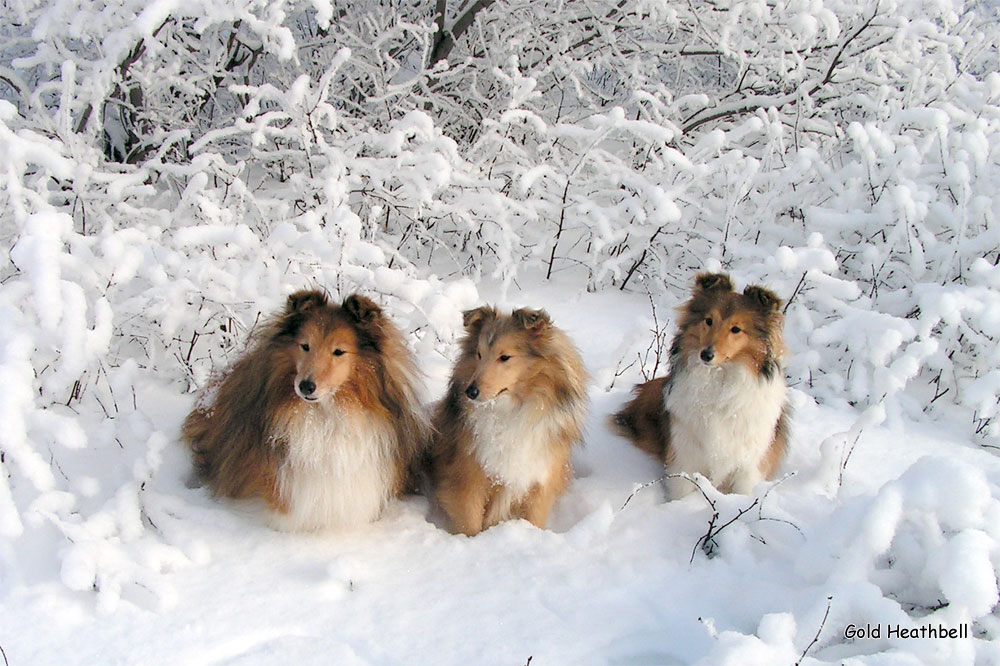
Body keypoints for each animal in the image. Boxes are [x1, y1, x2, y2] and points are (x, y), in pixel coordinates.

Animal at [432, 306, 588, 536]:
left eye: (504, 357)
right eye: (479, 354)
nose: (470, 392)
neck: (510, 410)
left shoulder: (541, 481)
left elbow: (534, 519)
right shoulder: (469, 478)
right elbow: (470, 523)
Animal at [612, 272, 792, 496]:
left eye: (736, 329)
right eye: (709, 320)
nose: (706, 354)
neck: (719, 382)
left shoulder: (748, 464)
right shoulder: (685, 454)